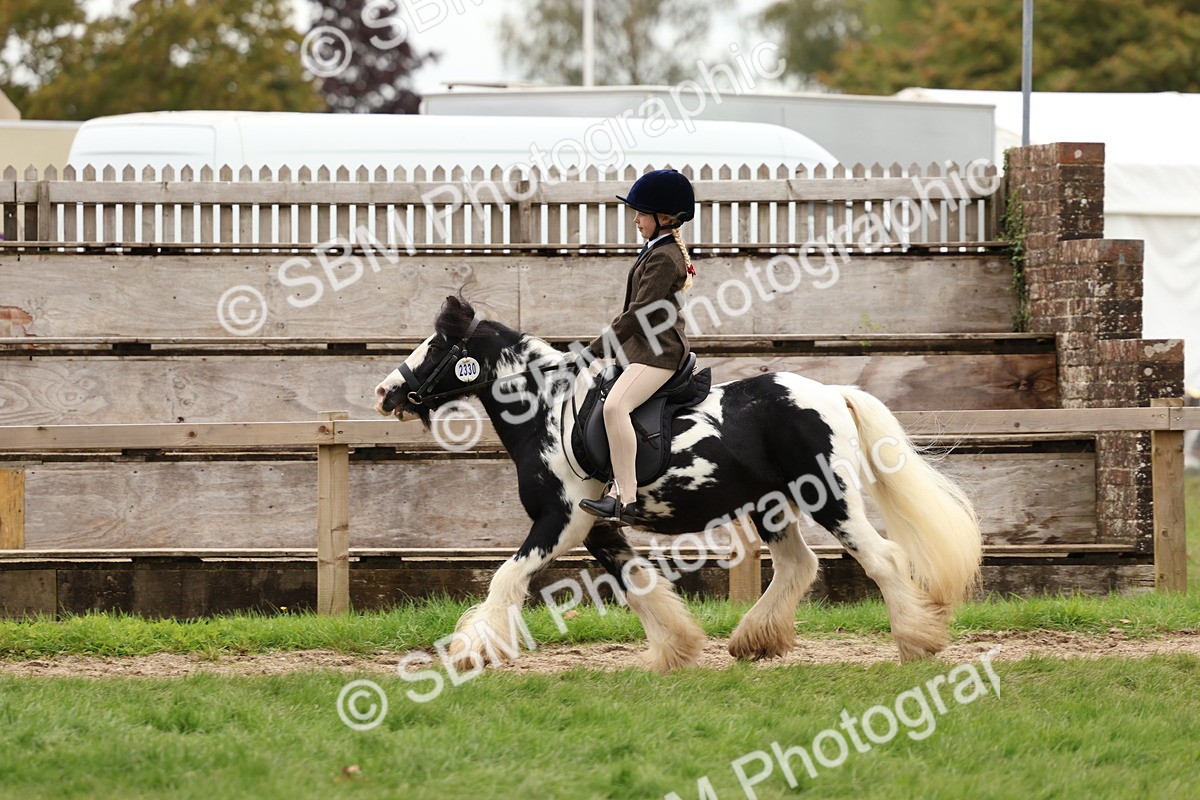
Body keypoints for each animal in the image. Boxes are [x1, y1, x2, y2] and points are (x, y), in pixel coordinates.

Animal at [375, 295, 982, 673]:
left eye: (436, 346)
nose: (385, 393)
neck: (546, 411)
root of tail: (832, 392)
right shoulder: (598, 528)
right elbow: (639, 585)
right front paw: (678, 650)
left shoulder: (560, 522)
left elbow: (506, 577)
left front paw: (469, 652)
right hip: (773, 506)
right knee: (797, 565)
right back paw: (753, 641)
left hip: (830, 497)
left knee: (881, 557)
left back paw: (917, 642)